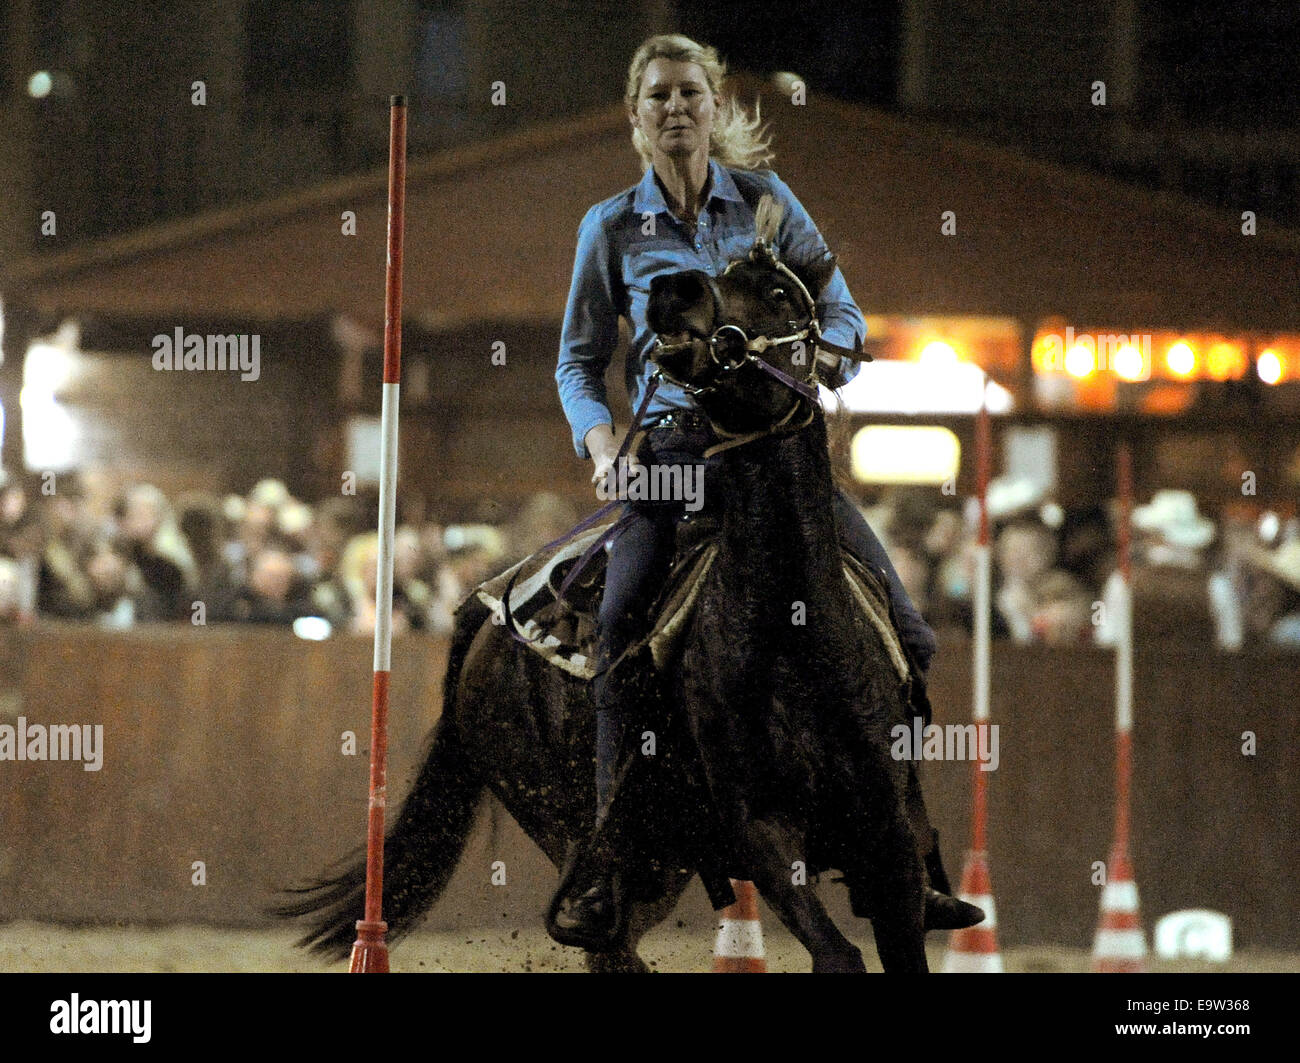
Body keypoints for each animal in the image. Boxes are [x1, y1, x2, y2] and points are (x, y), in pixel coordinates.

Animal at [282, 227, 935, 972]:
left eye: (775, 291)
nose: (675, 290)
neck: (795, 640)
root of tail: (488, 606)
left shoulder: (891, 843)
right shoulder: (761, 833)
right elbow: (837, 952)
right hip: (594, 838)